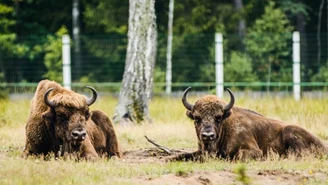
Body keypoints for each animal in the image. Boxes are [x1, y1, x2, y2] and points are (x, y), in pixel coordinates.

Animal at [172, 86, 328, 160]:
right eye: (196, 118)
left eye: (218, 117)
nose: (207, 135)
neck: (226, 127)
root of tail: (323, 146)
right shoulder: (200, 152)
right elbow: (181, 156)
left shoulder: (254, 151)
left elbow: (238, 157)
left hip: (290, 130)